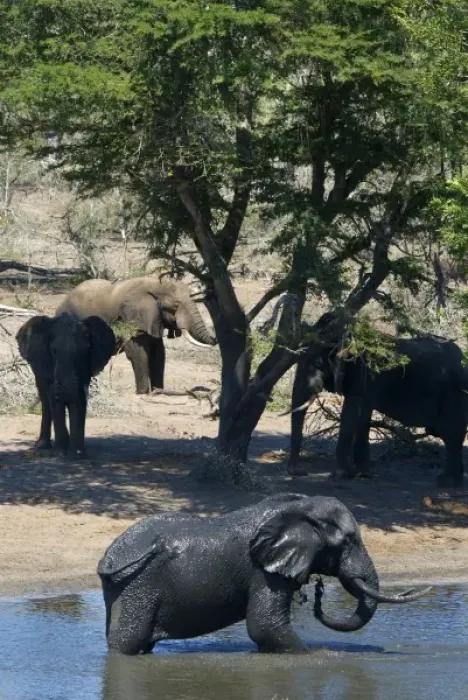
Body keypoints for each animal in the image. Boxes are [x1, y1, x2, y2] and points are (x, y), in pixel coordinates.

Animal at [16, 312, 115, 458]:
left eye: (86, 352)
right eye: (54, 351)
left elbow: (79, 398)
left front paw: (77, 455)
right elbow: (54, 399)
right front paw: (60, 453)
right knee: (45, 397)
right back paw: (42, 445)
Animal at [55, 276, 217, 395]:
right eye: (175, 305)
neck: (156, 285)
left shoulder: (153, 318)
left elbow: (159, 353)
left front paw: (158, 391)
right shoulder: (130, 318)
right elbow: (137, 352)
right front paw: (144, 392)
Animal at [97, 493, 430, 655]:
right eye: (348, 541)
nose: (319, 592)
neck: (300, 509)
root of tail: (108, 558)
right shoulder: (263, 571)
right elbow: (265, 626)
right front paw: (315, 656)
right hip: (136, 586)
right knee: (127, 642)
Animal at [287, 319, 468, 488]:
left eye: (317, 364)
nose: (300, 472)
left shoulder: (368, 376)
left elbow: (354, 415)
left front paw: (342, 475)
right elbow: (360, 418)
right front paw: (362, 473)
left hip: (455, 393)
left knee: (450, 434)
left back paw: (445, 482)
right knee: (449, 435)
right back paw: (454, 482)